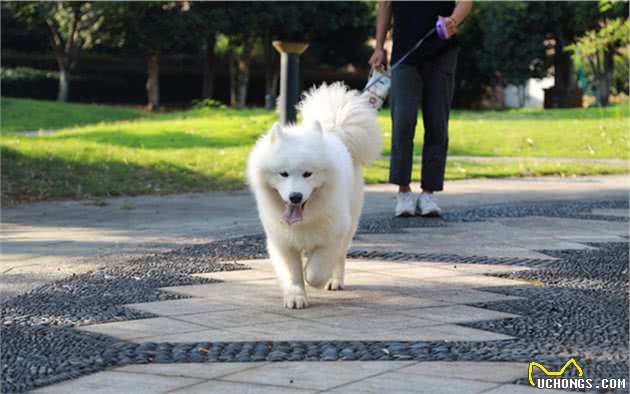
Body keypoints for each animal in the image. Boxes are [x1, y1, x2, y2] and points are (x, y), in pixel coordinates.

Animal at [249, 83, 382, 310]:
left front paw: (314, 279)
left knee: (340, 257)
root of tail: (333, 131)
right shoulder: (282, 241)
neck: (304, 221)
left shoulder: (333, 235)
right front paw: (295, 296)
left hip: (349, 224)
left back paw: (335, 281)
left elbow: (316, 270)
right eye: (283, 174)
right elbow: (292, 273)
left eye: (307, 174)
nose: (295, 196)